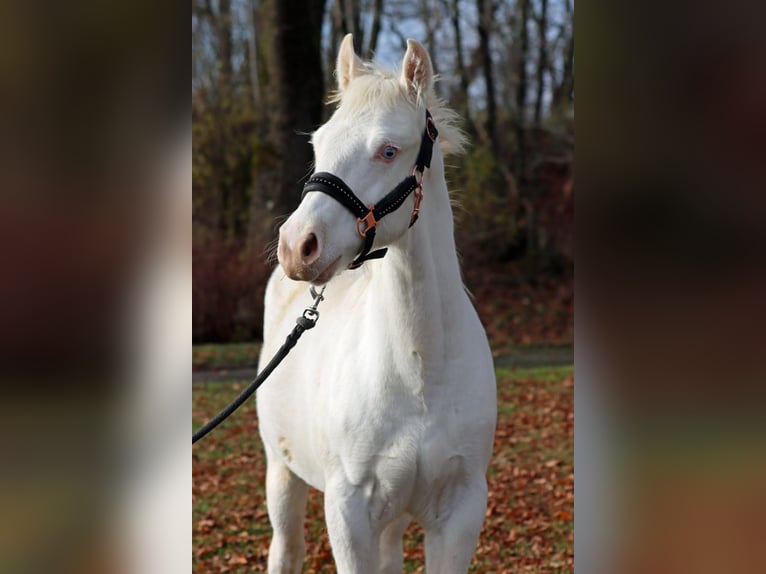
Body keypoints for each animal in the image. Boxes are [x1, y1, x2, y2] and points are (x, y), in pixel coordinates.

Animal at [257, 34, 497, 573]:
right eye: (318, 144)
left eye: (388, 151)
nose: (297, 246)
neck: (420, 372)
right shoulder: (348, 512)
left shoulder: (459, 514)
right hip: (282, 473)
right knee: (286, 548)